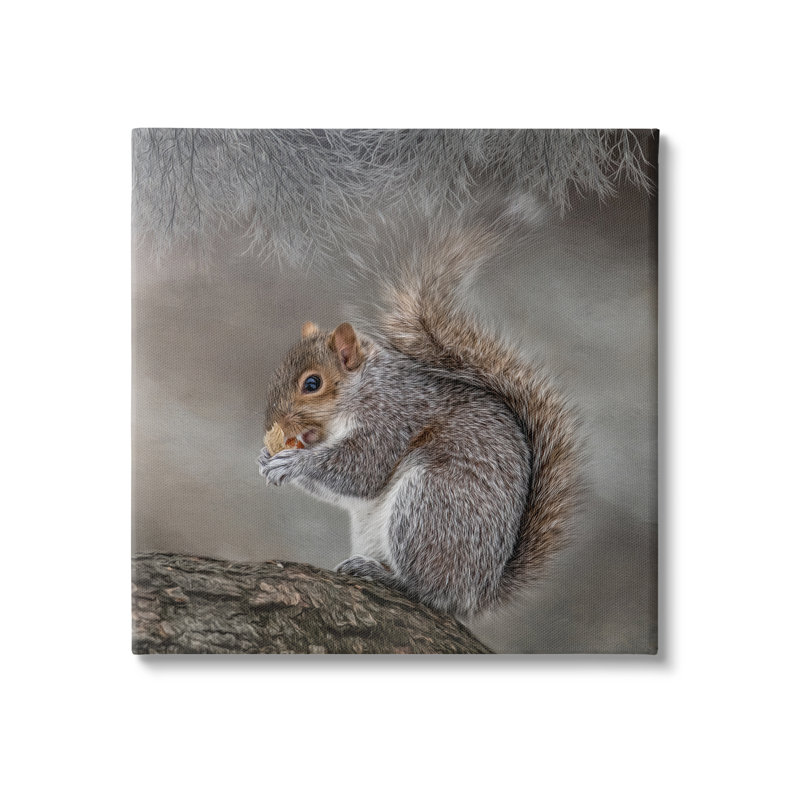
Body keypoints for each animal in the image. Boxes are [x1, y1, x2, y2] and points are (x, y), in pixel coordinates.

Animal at [257, 226, 578, 617]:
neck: (364, 389)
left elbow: (362, 471)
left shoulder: (393, 419)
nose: (272, 424)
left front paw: (293, 462)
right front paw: (267, 457)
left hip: (430, 506)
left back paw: (385, 576)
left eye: (312, 384)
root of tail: (476, 592)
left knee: (428, 590)